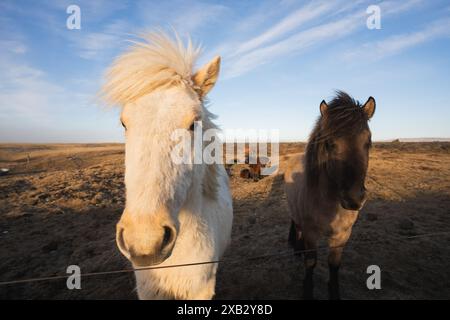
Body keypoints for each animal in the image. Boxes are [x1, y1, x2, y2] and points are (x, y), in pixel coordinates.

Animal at [284, 92, 376, 300]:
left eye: (368, 141)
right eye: (329, 143)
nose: (353, 199)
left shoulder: (342, 235)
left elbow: (334, 265)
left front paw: (334, 290)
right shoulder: (311, 234)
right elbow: (311, 263)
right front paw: (307, 290)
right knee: (296, 225)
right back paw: (297, 249)